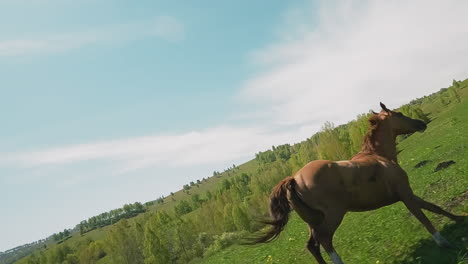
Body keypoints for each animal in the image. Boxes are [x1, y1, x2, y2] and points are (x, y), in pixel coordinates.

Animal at [254, 103, 466, 264]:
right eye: (399, 114)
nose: (420, 123)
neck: (379, 156)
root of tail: (294, 178)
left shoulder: (407, 193)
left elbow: (434, 207)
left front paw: (460, 218)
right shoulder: (405, 193)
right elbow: (423, 216)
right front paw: (443, 242)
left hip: (313, 220)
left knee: (312, 246)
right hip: (334, 214)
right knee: (325, 239)